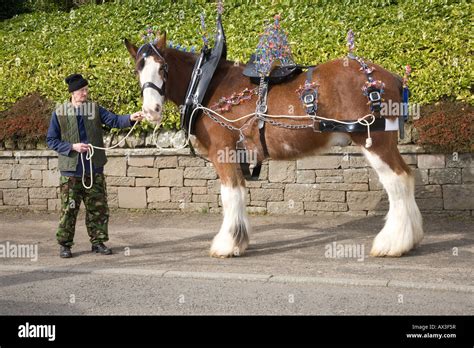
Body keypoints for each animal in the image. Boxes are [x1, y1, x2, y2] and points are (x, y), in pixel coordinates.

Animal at [125, 31, 422, 256]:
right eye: (137, 69)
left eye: (163, 67)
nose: (151, 110)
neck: (205, 83)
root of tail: (389, 78)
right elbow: (239, 193)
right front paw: (238, 241)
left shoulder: (223, 152)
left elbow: (230, 195)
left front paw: (227, 244)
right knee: (407, 177)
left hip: (374, 141)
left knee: (397, 181)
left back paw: (392, 243)